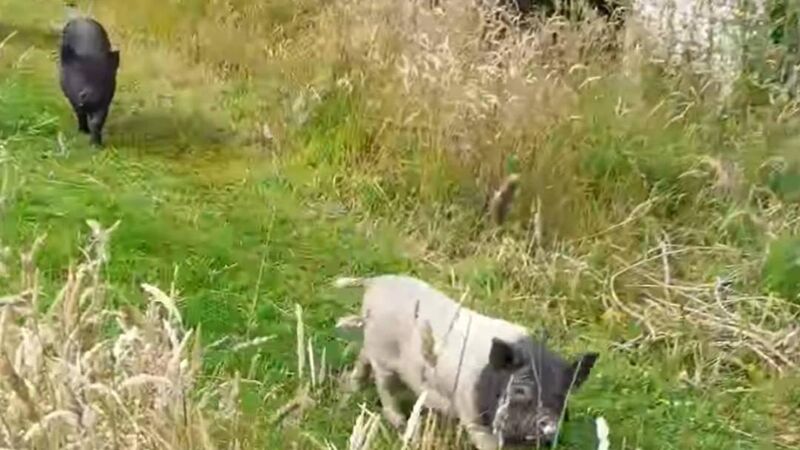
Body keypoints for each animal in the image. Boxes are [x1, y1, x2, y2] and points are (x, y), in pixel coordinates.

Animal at [58, 17, 120, 147]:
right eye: (77, 75)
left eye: (102, 78)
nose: (90, 94)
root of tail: (82, 18)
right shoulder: (72, 97)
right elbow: (79, 113)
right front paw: (83, 132)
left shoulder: (106, 99)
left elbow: (97, 121)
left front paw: (96, 146)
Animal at [333, 274, 599, 450]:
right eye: (520, 390)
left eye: (562, 394)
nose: (549, 425)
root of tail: (376, 282)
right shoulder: (473, 418)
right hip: (384, 355)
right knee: (384, 388)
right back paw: (401, 424)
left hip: (373, 344)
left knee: (363, 357)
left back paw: (350, 387)